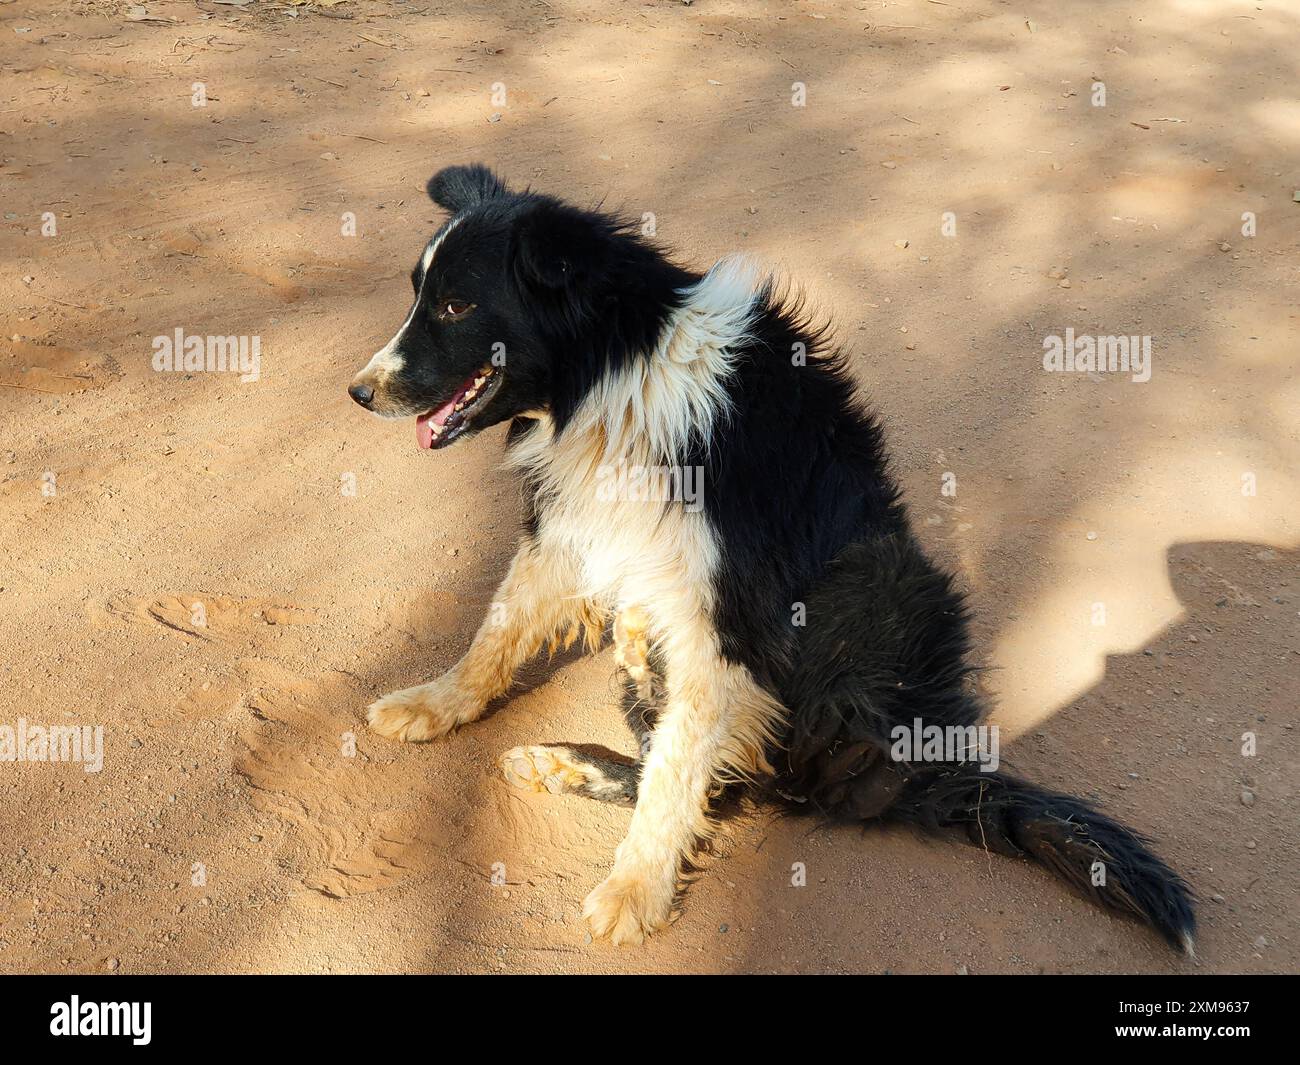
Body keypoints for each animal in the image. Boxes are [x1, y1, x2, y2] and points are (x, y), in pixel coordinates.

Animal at [348, 169, 1196, 957]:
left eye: (457, 306)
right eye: (419, 295)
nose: (358, 392)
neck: (618, 376)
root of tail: (910, 774)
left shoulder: (731, 614)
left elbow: (678, 770)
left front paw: (636, 890)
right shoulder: (568, 526)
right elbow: (495, 631)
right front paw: (431, 704)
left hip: (878, 585)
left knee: (743, 782)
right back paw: (560, 761)